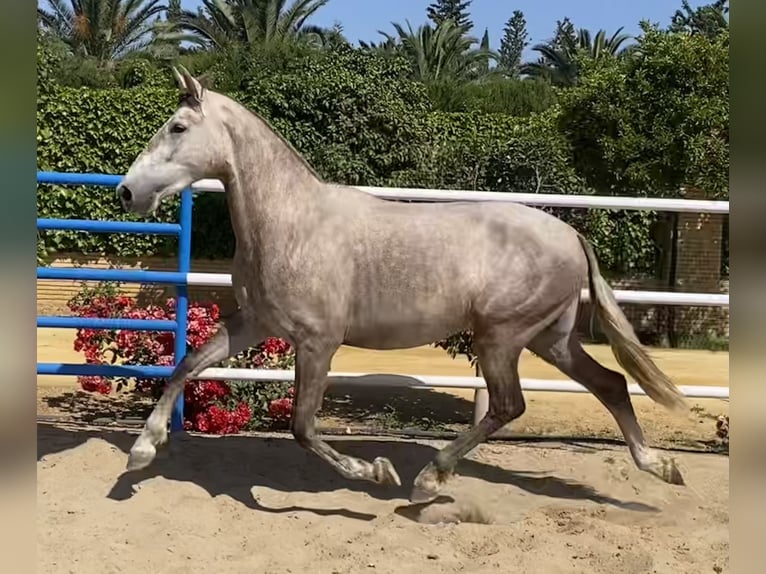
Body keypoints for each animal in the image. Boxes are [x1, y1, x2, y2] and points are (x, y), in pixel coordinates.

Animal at [118, 67, 688, 504]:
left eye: (178, 126)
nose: (126, 191)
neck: (292, 223)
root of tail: (573, 234)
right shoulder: (257, 323)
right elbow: (187, 364)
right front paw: (142, 451)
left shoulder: (317, 342)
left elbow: (302, 426)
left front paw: (377, 472)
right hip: (552, 339)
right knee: (611, 383)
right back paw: (660, 466)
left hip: (502, 338)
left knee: (511, 405)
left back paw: (429, 479)